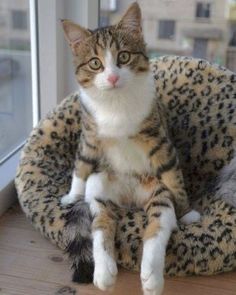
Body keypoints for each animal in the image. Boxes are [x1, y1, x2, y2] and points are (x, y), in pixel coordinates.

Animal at [60, 2, 199, 295]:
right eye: (95, 63)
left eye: (123, 57)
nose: (112, 77)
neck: (116, 102)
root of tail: (130, 197)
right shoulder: (90, 134)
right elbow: (82, 163)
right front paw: (72, 195)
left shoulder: (158, 137)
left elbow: (172, 173)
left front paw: (187, 211)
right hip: (99, 186)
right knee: (100, 223)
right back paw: (104, 272)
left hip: (157, 191)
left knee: (158, 224)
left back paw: (151, 276)